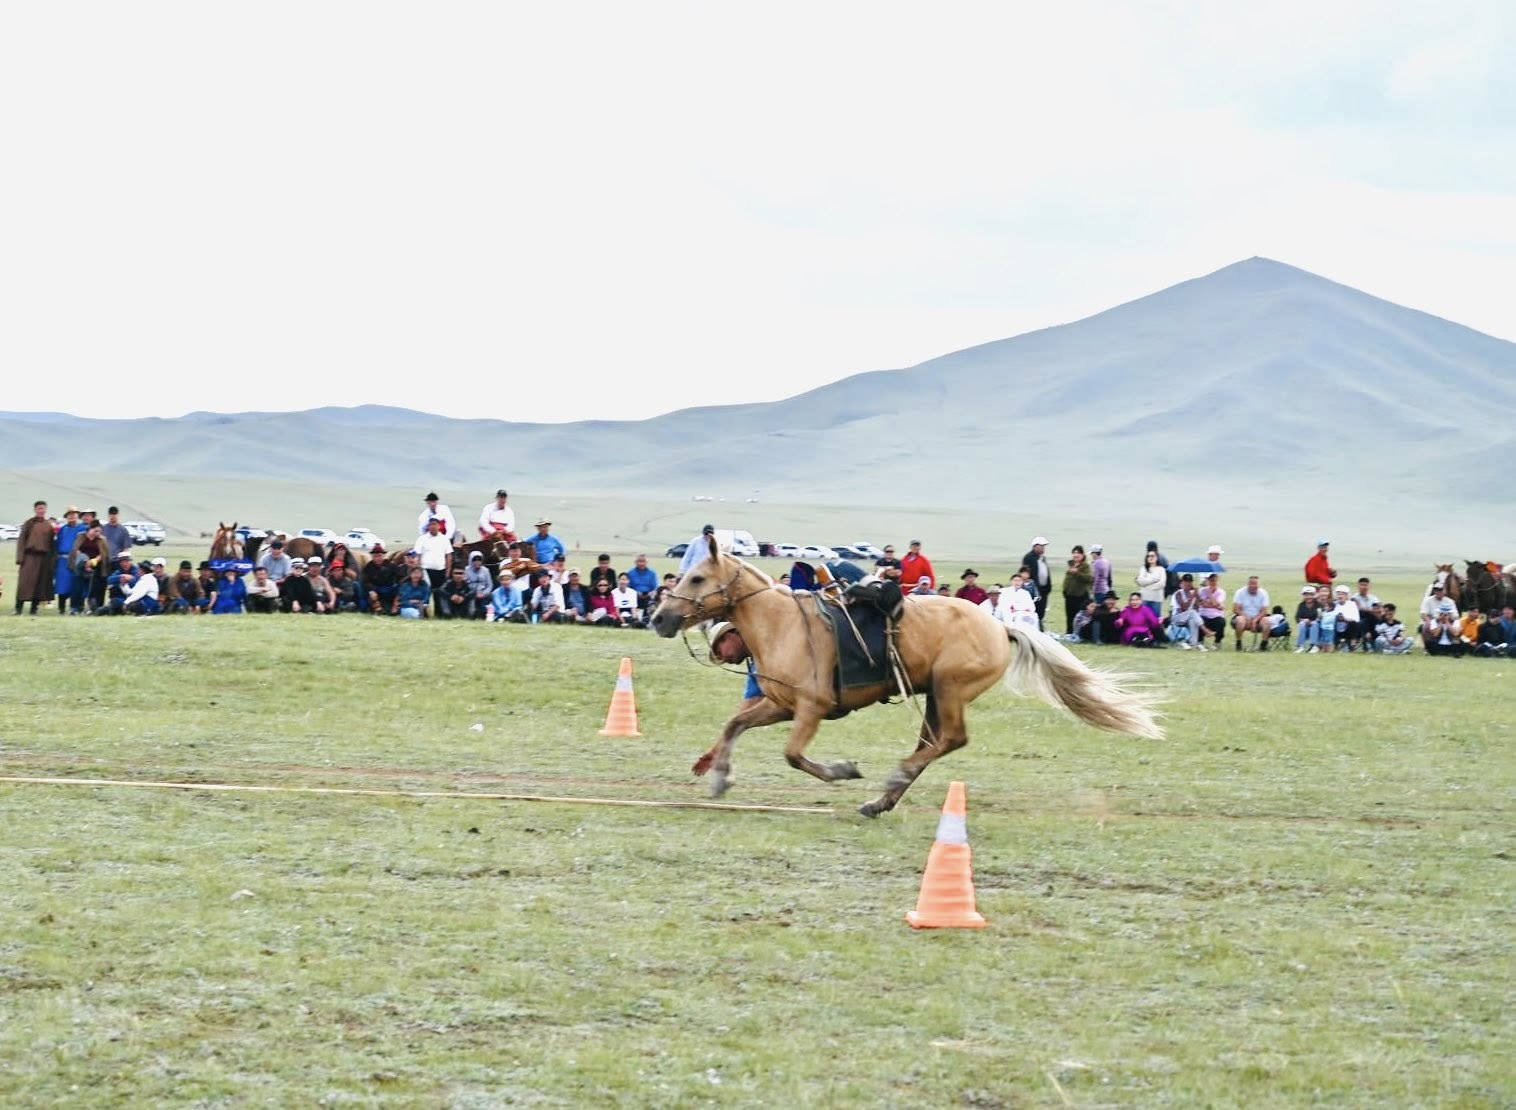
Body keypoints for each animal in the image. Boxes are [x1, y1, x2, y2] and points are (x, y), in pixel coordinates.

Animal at [650, 535, 1163, 817]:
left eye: (697, 579)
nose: (659, 618)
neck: (782, 624)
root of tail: (1000, 625)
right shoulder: (779, 703)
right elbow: (734, 724)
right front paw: (718, 776)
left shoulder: (810, 708)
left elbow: (794, 755)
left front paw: (843, 770)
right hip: (936, 694)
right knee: (933, 742)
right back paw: (883, 801)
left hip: (951, 689)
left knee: (949, 740)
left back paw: (893, 780)